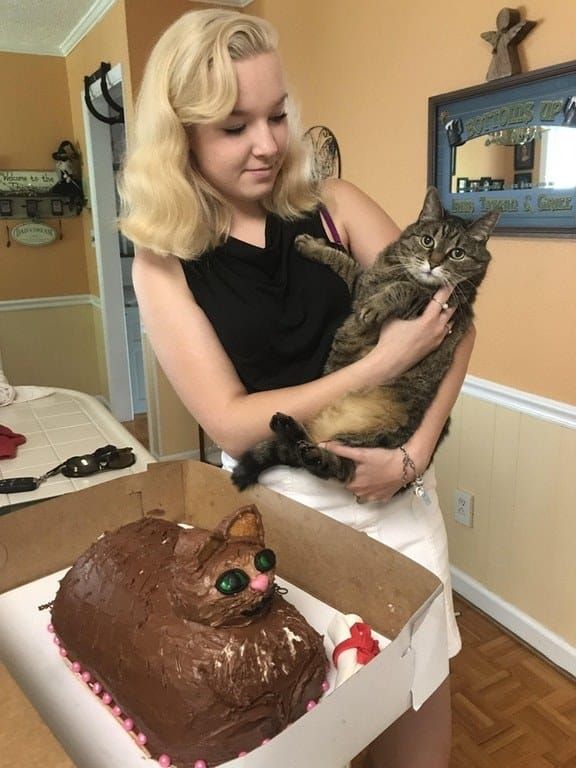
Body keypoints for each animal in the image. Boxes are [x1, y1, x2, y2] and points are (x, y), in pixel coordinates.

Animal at [232, 190, 498, 496]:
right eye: (427, 240)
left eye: (457, 253)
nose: (434, 263)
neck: (398, 272)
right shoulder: (361, 285)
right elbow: (343, 261)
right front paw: (312, 245)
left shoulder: (435, 307)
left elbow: (407, 289)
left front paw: (377, 306)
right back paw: (289, 428)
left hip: (368, 445)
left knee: (337, 467)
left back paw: (307, 448)